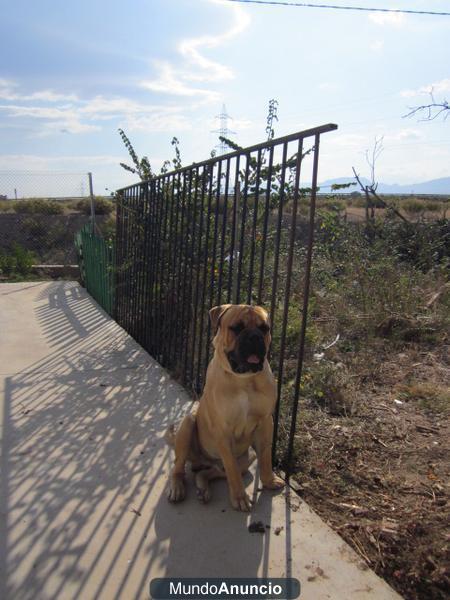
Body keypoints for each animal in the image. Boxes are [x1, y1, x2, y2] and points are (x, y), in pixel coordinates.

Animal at [167, 304, 284, 510]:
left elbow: (265, 456)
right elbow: (232, 469)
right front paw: (239, 497)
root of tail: (201, 461)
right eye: (236, 328)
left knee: (210, 472)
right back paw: (177, 487)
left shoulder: (265, 422)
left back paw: (203, 487)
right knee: (179, 466)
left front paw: (269, 481)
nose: (255, 337)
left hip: (247, 456)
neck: (244, 380)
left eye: (264, 328)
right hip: (187, 424)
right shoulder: (223, 430)